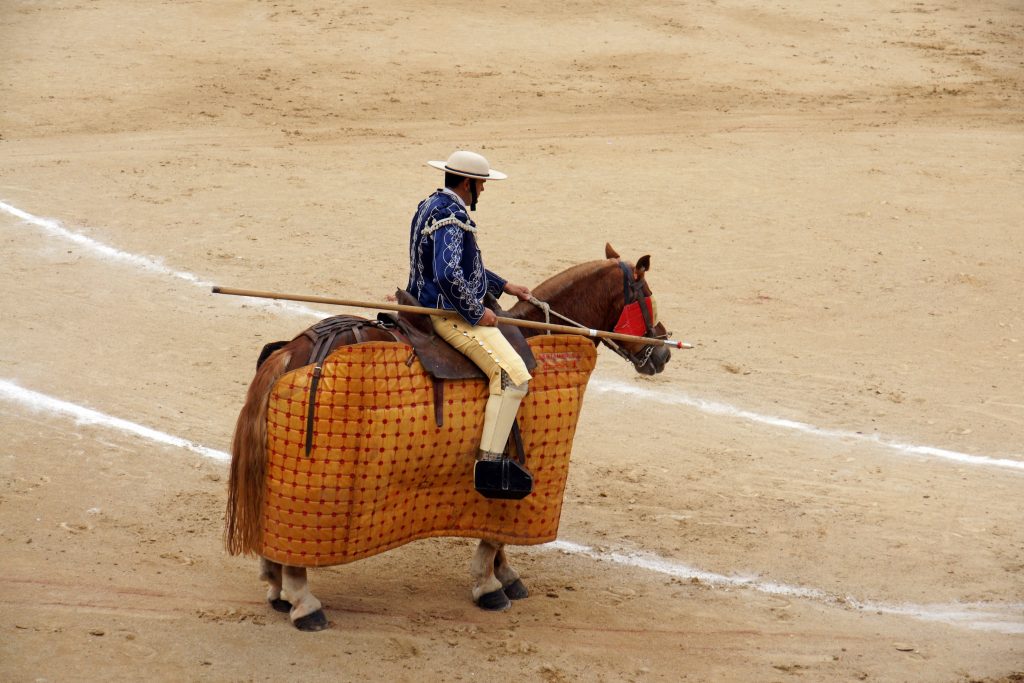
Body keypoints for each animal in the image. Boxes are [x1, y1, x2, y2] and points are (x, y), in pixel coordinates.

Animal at [224, 244, 671, 630]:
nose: (664, 353)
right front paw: (491, 585)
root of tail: (293, 351)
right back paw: (303, 603)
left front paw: (506, 575)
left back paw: (277, 589)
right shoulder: (518, 467)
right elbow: (495, 533)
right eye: (648, 295)